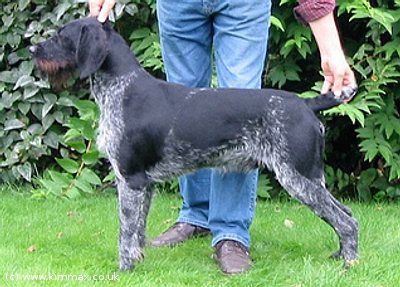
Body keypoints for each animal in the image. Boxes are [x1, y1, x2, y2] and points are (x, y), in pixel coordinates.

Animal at [29, 16, 358, 272]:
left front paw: (123, 269)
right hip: (310, 179)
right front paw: (138, 261)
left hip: (299, 177)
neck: (122, 88)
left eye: (62, 35)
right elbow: (138, 229)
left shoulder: (130, 179)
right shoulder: (145, 183)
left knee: (347, 221)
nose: (33, 48)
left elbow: (125, 230)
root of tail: (306, 104)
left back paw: (350, 263)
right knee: (346, 214)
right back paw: (341, 255)